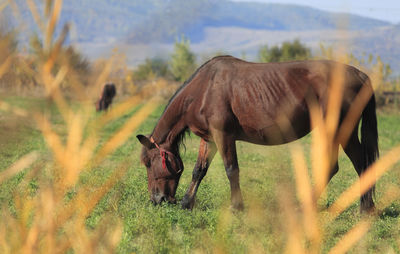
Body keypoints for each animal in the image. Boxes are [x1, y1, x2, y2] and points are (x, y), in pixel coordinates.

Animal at [137, 56, 378, 212]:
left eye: (148, 163)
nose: (157, 199)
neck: (203, 90)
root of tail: (359, 75)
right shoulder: (209, 139)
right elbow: (199, 170)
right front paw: (187, 203)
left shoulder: (223, 136)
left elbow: (231, 170)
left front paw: (236, 206)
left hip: (341, 130)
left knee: (353, 164)